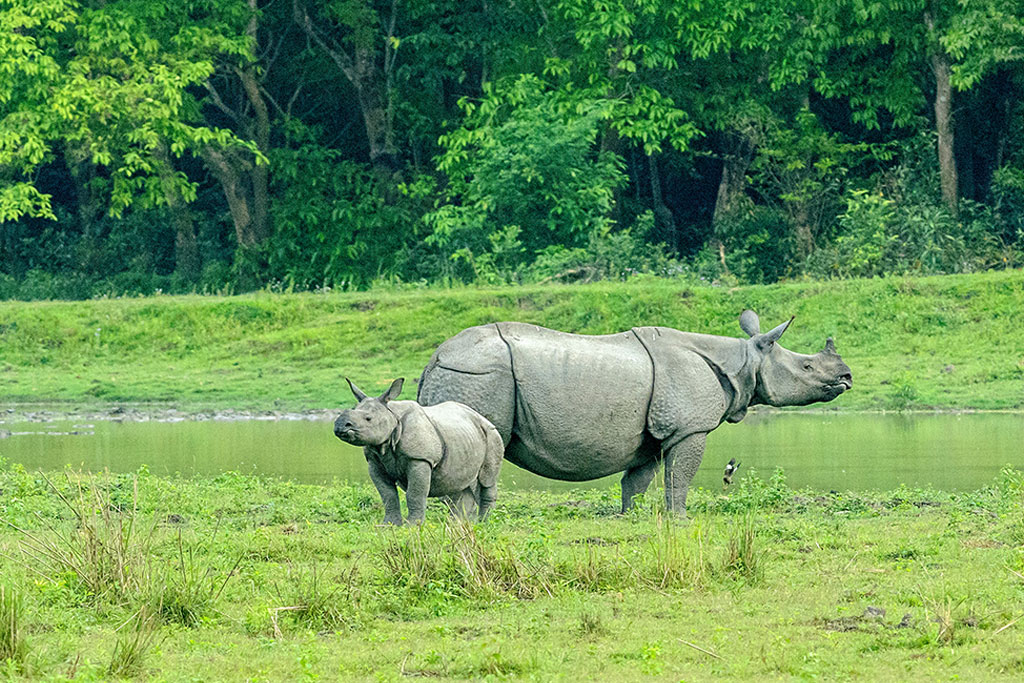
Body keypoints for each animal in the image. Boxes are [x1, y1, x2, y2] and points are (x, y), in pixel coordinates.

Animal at [333, 376, 505, 528]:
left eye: (368, 418)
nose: (340, 425)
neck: (392, 416)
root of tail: (482, 418)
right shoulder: (374, 461)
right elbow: (387, 494)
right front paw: (387, 525)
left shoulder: (420, 459)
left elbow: (415, 494)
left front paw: (412, 526)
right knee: (460, 484)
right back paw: (457, 524)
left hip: (492, 434)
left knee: (487, 480)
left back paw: (483, 523)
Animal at [417, 309, 856, 511]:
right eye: (807, 367)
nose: (848, 377)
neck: (742, 360)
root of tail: (434, 358)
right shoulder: (689, 428)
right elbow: (679, 477)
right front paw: (679, 519)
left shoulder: (653, 435)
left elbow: (637, 481)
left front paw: (630, 517)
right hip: (478, 374)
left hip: (466, 374)